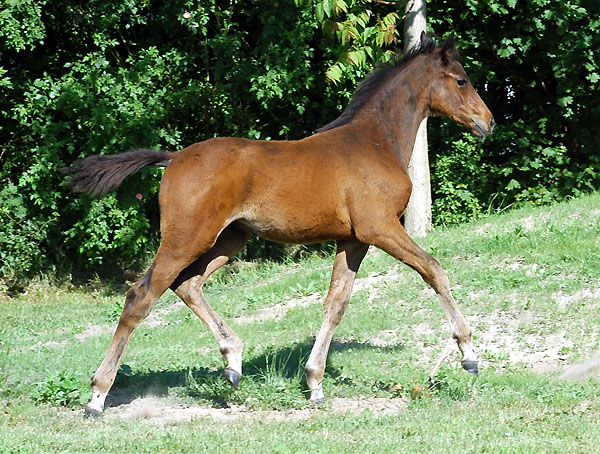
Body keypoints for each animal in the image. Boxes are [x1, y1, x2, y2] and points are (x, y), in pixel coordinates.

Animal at [63, 32, 494, 414]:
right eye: (462, 80)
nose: (488, 122)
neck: (376, 142)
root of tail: (173, 159)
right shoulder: (382, 228)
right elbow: (434, 270)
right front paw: (469, 354)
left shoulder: (354, 240)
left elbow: (335, 303)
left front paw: (315, 382)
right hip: (186, 238)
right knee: (141, 296)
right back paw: (98, 396)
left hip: (229, 240)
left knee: (187, 285)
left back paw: (233, 362)